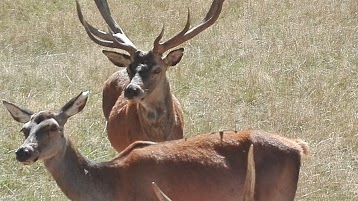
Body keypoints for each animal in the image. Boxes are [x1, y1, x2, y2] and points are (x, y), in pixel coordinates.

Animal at [3, 91, 308, 201]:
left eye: (53, 127)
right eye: (24, 129)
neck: (110, 187)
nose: (23, 152)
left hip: (276, 194)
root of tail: (298, 146)